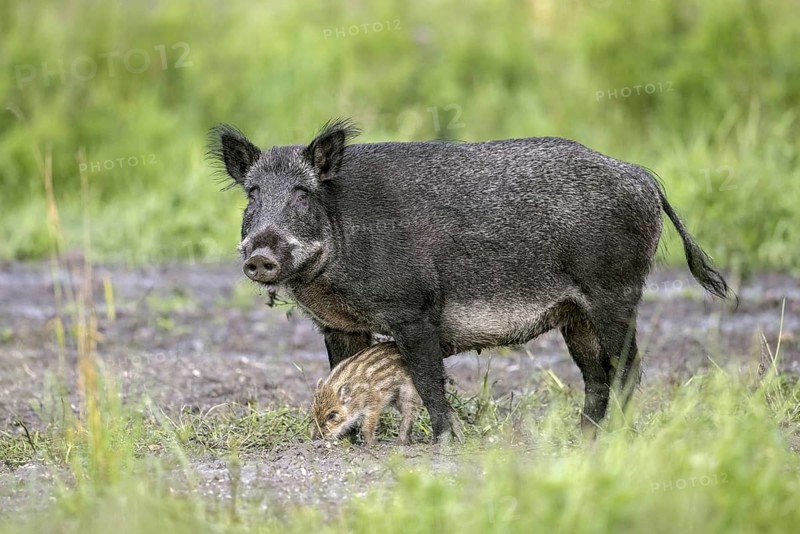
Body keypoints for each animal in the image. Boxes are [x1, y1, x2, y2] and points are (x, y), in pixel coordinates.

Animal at [209, 119, 733, 442]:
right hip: (576, 315)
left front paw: (445, 441)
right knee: (597, 377)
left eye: (302, 192)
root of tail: (645, 178)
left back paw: (614, 438)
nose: (260, 255)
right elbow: (344, 374)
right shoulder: (337, 325)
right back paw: (579, 439)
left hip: (615, 292)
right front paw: (353, 442)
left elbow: (428, 381)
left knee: (627, 369)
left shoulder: (415, 310)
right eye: (252, 194)